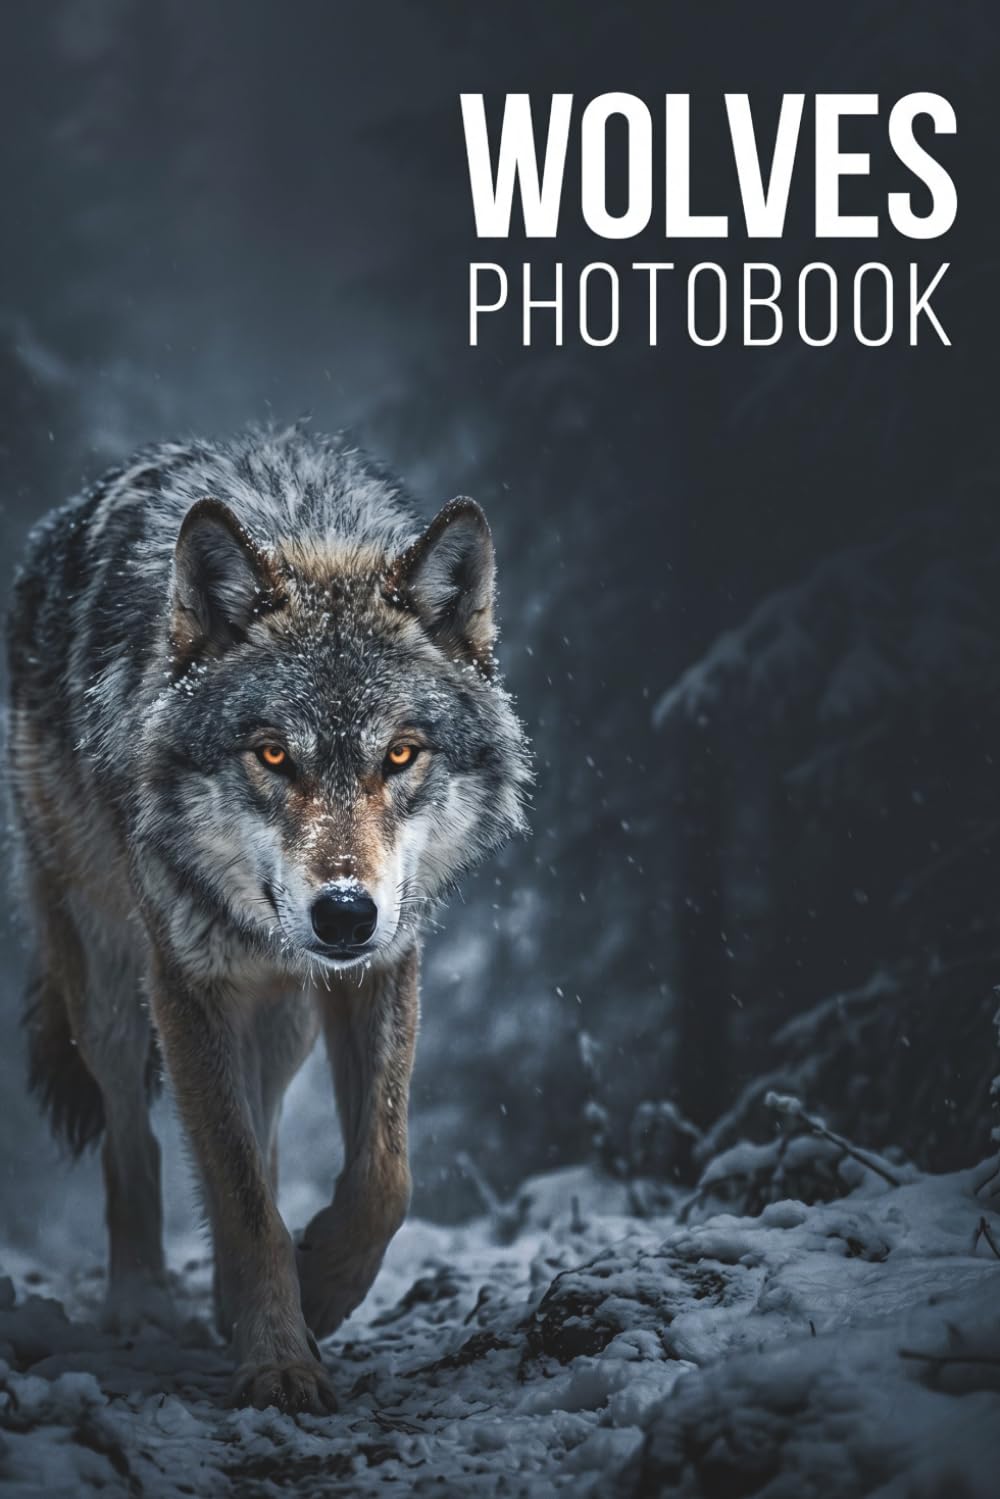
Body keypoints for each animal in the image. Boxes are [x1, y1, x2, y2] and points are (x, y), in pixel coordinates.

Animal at [6, 426, 529, 1412]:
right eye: (274, 754)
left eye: (401, 754)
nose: (344, 913)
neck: (306, 530)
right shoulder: (189, 982)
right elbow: (241, 1195)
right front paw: (280, 1360)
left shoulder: (384, 964)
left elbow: (384, 1175)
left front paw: (319, 1285)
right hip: (110, 981)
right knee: (133, 1136)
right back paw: (142, 1301)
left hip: (282, 1017)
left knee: (267, 1119)